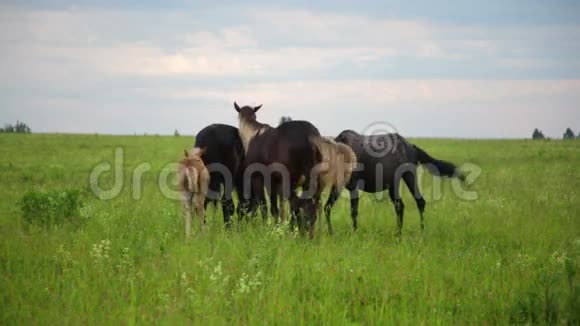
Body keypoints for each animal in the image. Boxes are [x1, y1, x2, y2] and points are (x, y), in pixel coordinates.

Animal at [234, 103, 324, 238]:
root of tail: (310, 137)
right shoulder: (275, 182)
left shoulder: (259, 178)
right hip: (312, 181)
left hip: (291, 180)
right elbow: (278, 208)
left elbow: (265, 206)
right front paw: (278, 228)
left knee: (296, 205)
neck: (251, 135)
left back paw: (296, 232)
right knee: (311, 205)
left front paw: (268, 229)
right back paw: (309, 235)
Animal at [324, 129, 464, 236]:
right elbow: (327, 207)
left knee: (419, 202)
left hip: (408, 176)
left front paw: (353, 233)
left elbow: (353, 212)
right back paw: (398, 233)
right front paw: (331, 233)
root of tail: (411, 147)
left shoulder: (353, 187)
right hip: (393, 184)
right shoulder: (339, 186)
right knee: (400, 205)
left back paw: (420, 232)